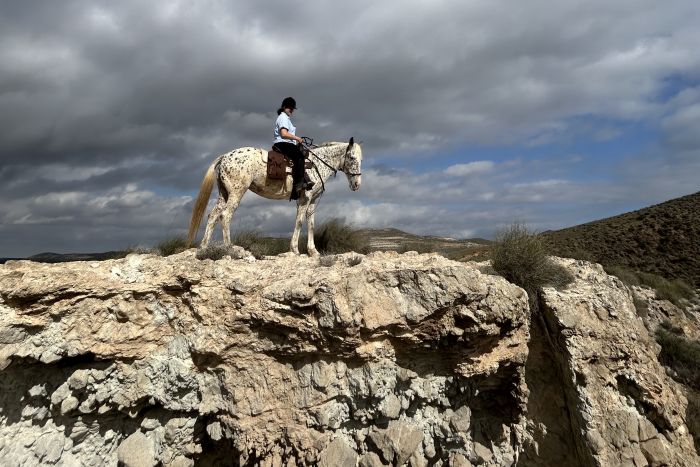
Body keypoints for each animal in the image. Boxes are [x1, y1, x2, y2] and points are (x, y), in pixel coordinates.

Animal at [187, 137, 360, 258]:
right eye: (352, 158)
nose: (356, 184)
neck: (317, 164)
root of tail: (224, 157)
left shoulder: (312, 201)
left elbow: (310, 224)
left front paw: (313, 252)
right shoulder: (304, 199)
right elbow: (299, 222)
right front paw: (295, 250)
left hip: (224, 193)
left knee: (213, 216)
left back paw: (204, 247)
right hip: (237, 192)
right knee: (225, 215)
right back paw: (231, 248)